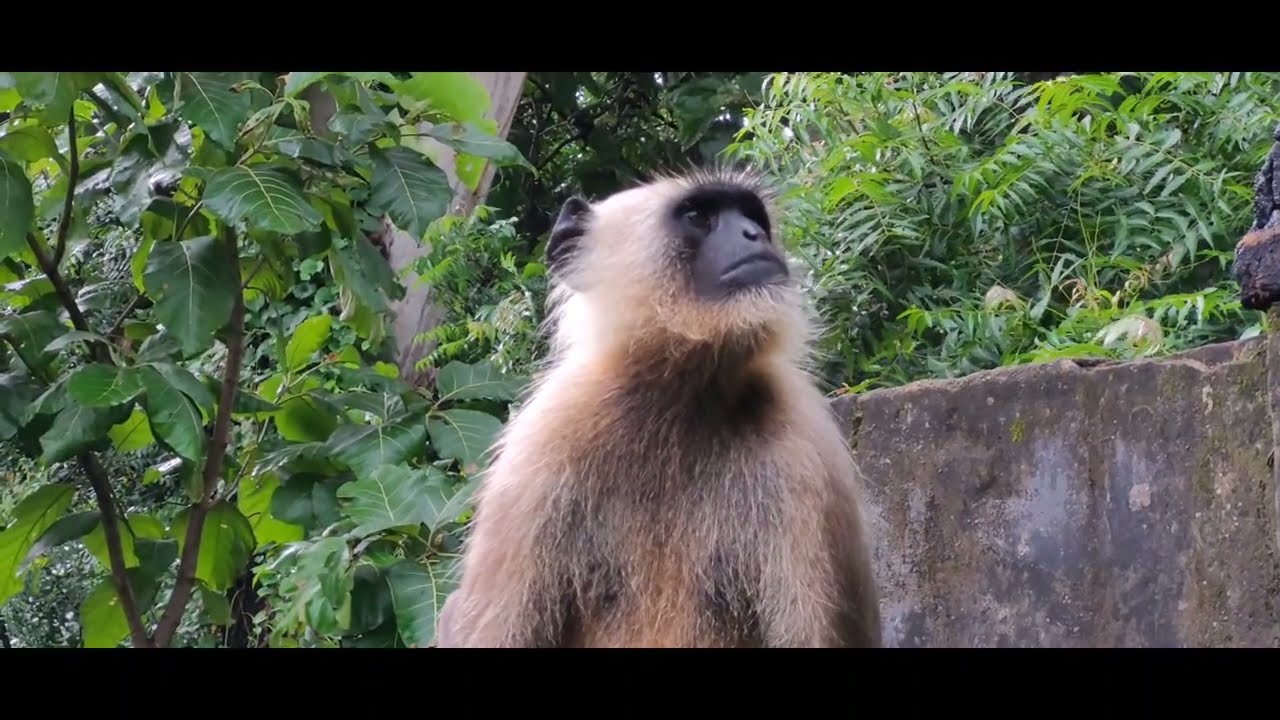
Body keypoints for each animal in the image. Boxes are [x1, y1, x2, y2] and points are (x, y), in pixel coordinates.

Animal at [434, 165, 882, 648]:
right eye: (698, 216)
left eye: (751, 217)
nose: (754, 235)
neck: (679, 398)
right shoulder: (539, 449)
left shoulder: (807, 452)